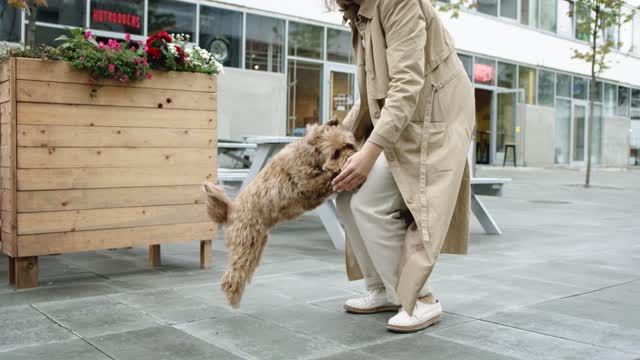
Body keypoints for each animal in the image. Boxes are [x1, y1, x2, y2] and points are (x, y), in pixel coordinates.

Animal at [204, 120, 358, 306]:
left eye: (348, 145)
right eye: (335, 153)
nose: (351, 157)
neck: (312, 155)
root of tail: (230, 212)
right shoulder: (307, 185)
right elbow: (327, 177)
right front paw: (339, 174)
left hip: (256, 246)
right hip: (245, 243)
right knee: (232, 275)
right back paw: (233, 297)